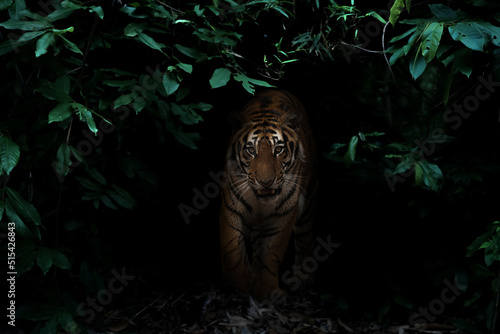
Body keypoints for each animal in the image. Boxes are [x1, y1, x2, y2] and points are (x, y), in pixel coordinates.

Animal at [219, 89, 316, 300]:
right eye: (250, 150)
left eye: (278, 149)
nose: (265, 182)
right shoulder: (231, 211)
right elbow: (233, 252)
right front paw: (243, 284)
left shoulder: (283, 216)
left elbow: (270, 254)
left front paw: (266, 290)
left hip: (308, 202)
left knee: (305, 238)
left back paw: (302, 280)